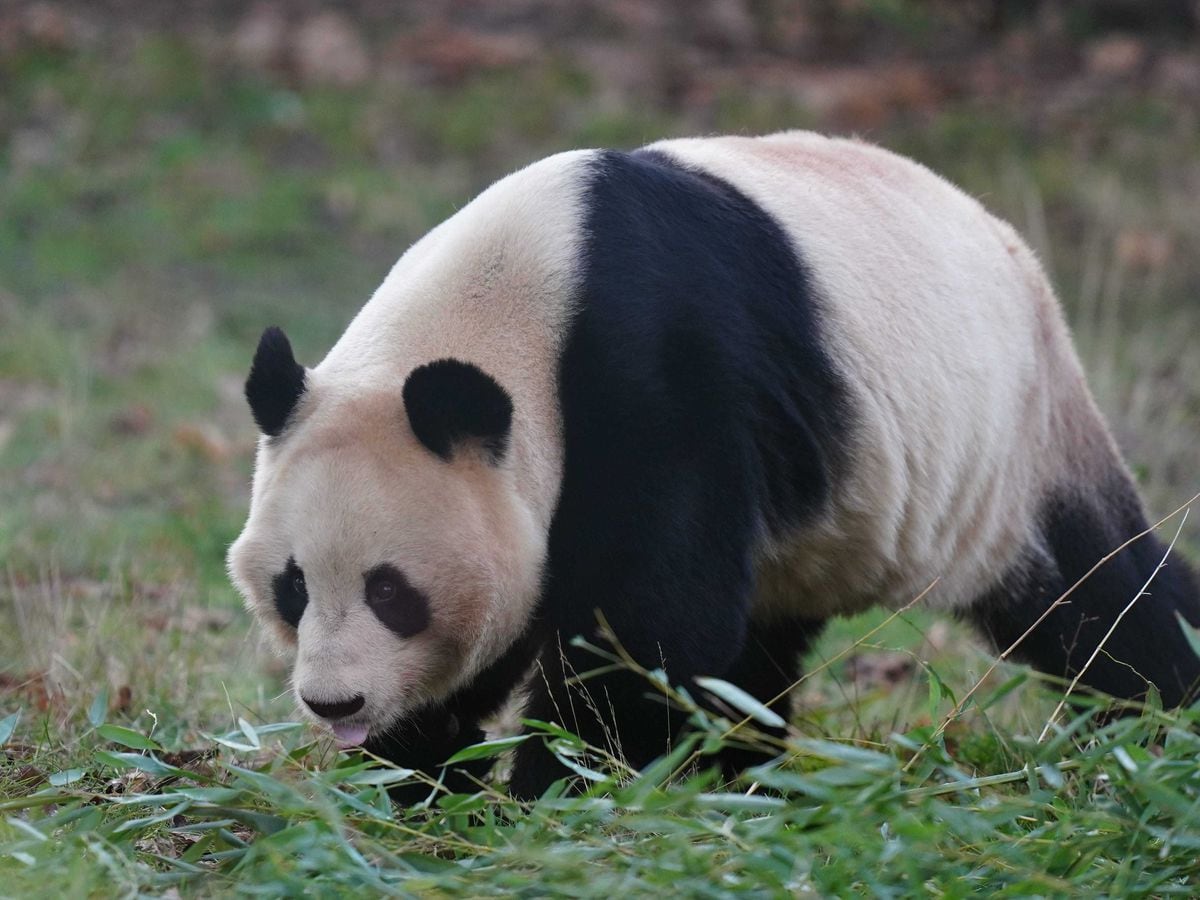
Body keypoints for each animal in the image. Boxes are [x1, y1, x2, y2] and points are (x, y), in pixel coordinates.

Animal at [229, 130, 1200, 801]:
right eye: (293, 587)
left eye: (392, 591)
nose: (334, 704)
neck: (515, 302)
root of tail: (1010, 245)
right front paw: (420, 786)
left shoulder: (656, 380)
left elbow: (649, 622)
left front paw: (556, 793)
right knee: (760, 650)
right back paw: (742, 777)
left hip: (1008, 442)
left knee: (1101, 598)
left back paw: (1162, 722)